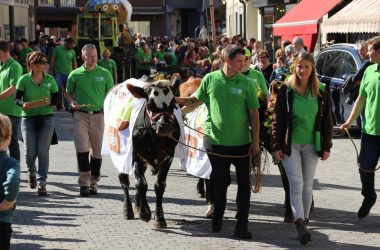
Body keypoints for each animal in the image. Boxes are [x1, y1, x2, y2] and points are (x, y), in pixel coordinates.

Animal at [119, 79, 181, 228]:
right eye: (150, 105)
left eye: (173, 104)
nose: (166, 126)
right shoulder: (135, 156)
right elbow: (141, 183)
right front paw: (145, 213)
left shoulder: (168, 158)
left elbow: (159, 185)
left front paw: (159, 217)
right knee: (125, 180)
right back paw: (128, 210)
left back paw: (138, 203)